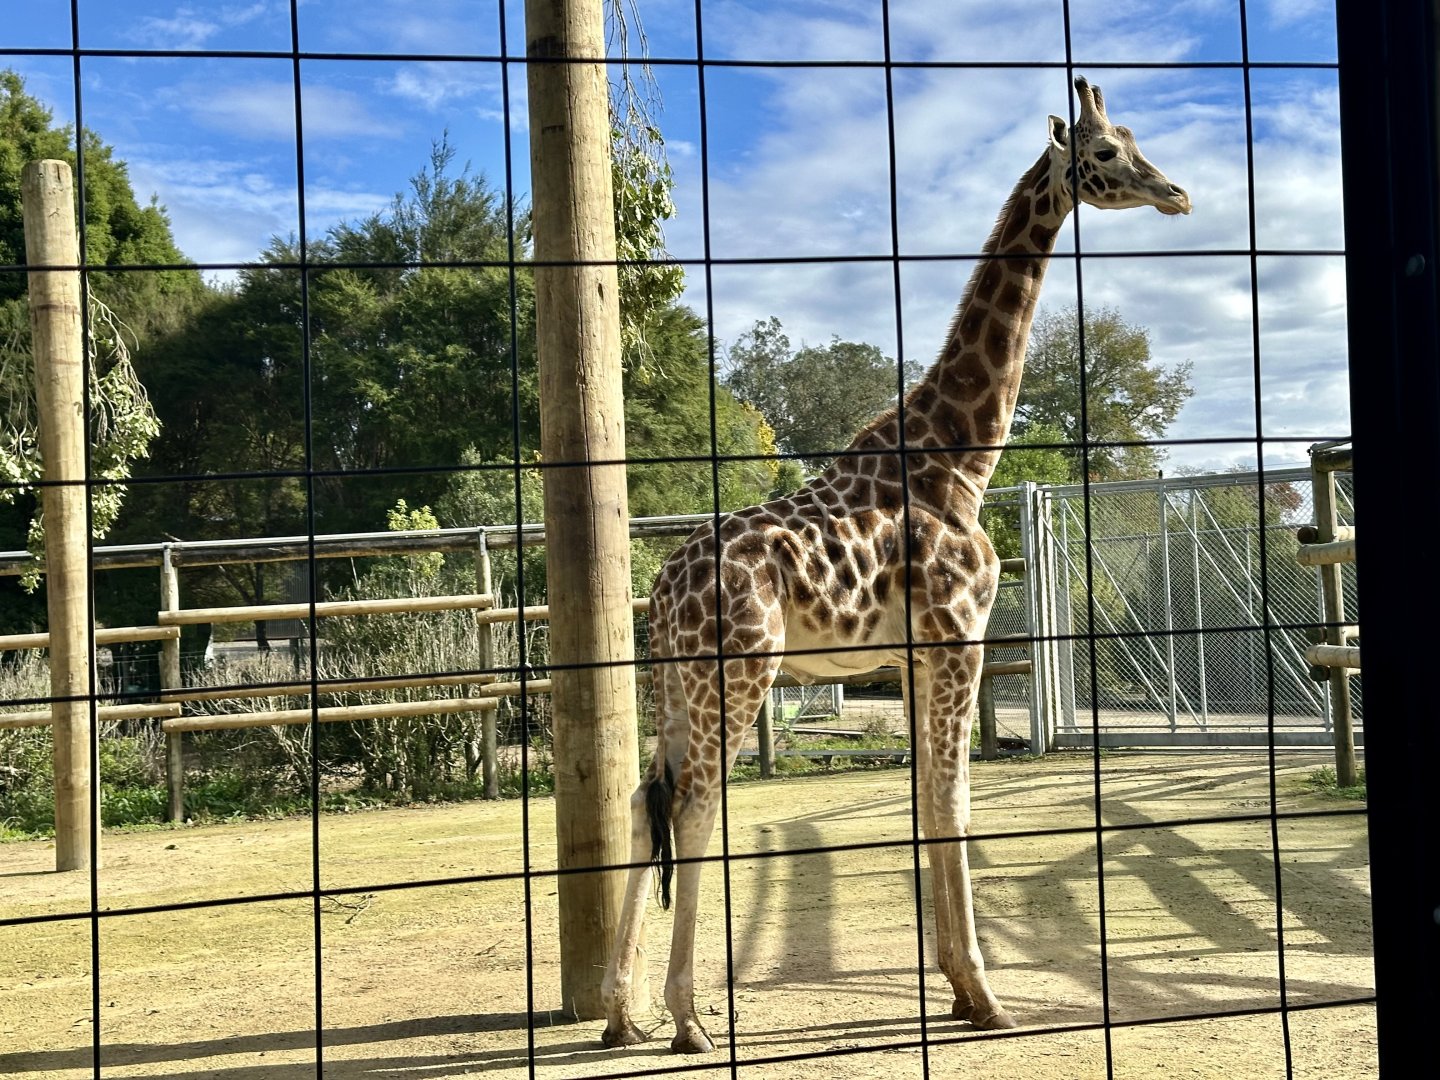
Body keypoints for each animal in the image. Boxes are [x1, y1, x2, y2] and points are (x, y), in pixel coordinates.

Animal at [601, 75, 1190, 1054]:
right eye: (1107, 153)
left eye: (1139, 142)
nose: (1177, 194)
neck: (962, 453)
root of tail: (662, 590)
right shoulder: (959, 639)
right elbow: (953, 804)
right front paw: (987, 996)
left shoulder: (917, 658)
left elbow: (924, 801)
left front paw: (958, 989)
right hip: (739, 672)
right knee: (694, 808)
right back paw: (688, 1022)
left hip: (677, 682)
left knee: (649, 802)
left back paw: (623, 1013)